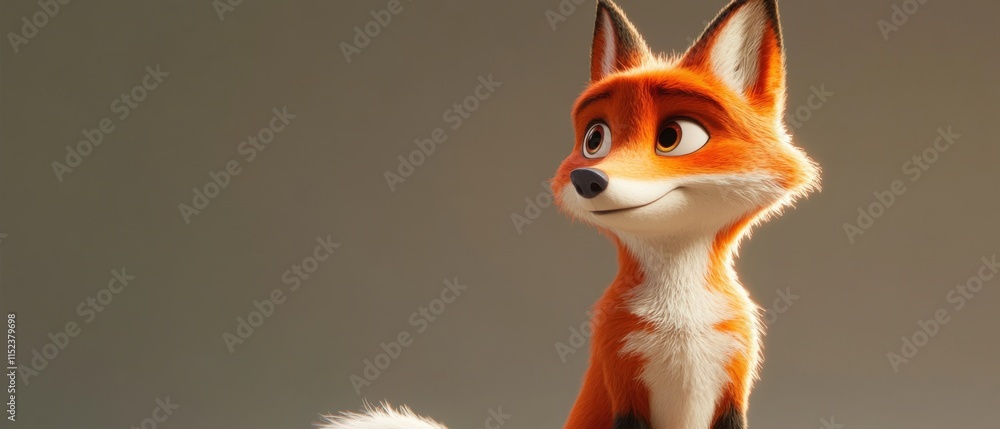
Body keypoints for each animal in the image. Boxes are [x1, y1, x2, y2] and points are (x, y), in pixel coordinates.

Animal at [321, 0, 819, 428]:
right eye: (595, 139)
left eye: (674, 136)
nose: (587, 178)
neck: (681, 323)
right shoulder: (622, 378)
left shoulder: (732, 380)